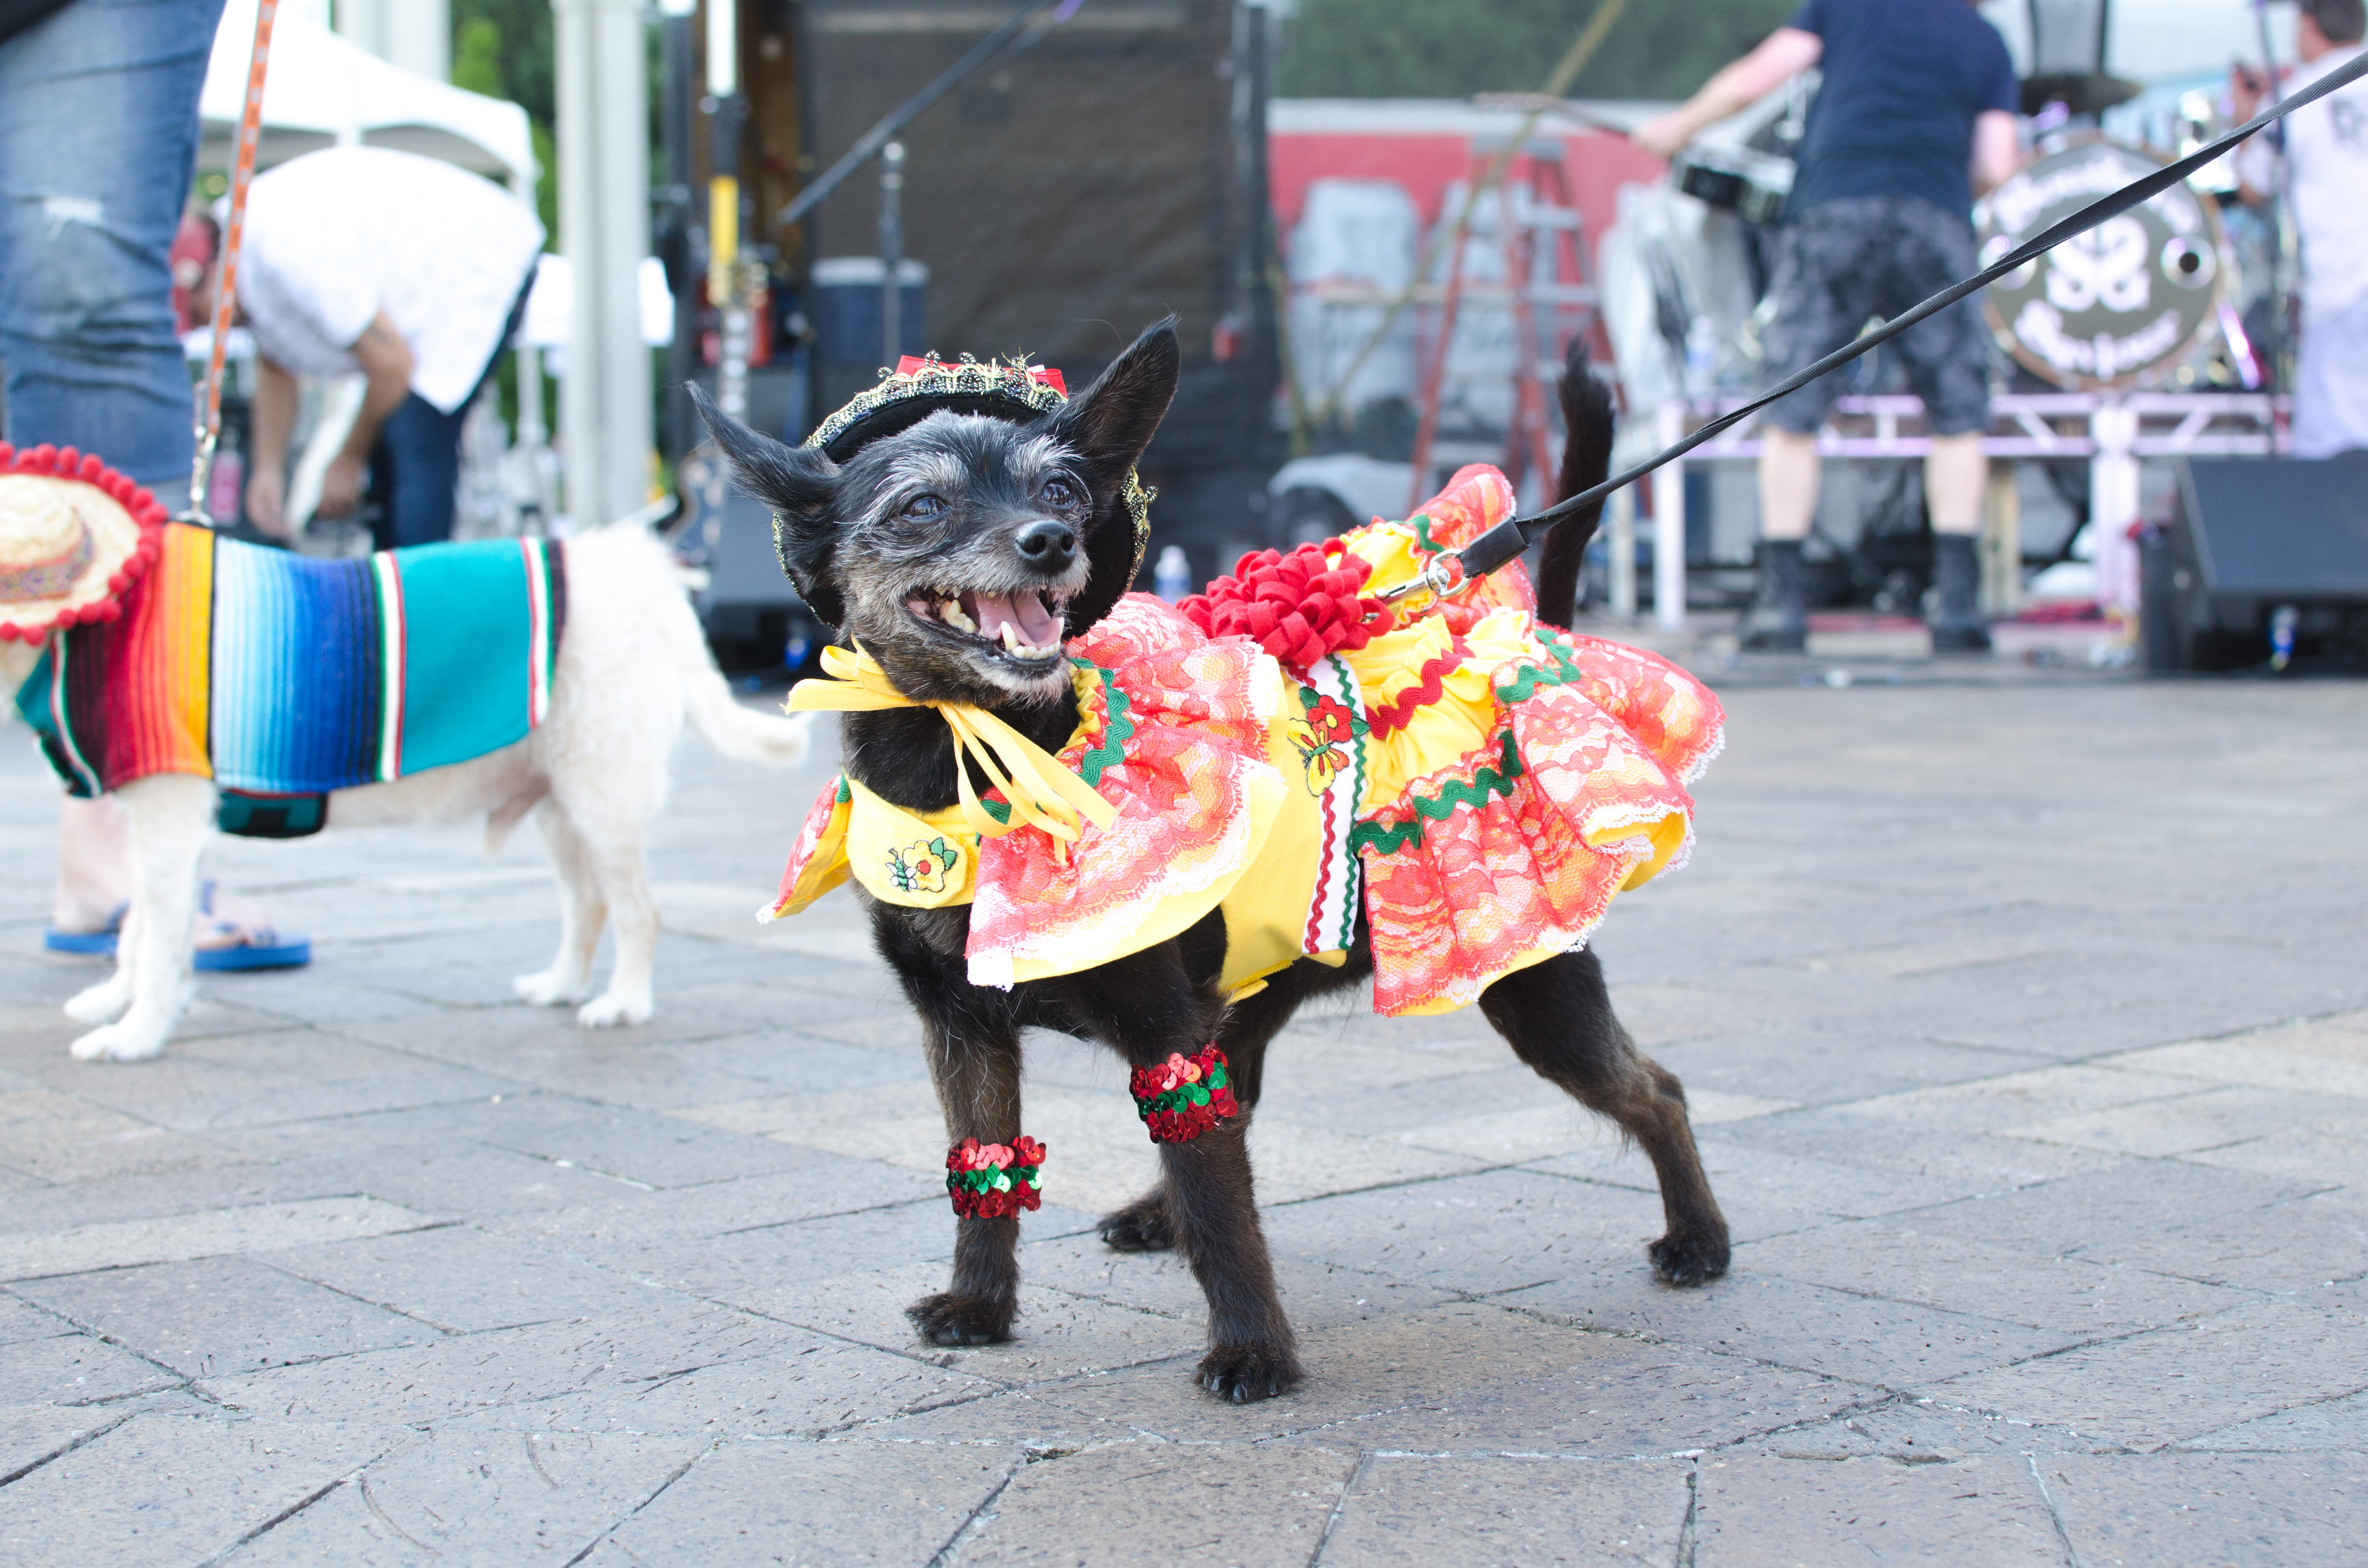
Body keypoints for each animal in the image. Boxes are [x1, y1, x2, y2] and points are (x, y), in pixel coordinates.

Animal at [2, 521, 805, 1061]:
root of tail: (643, 575)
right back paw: (562, 984)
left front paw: (136, 1033)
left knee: (639, 911)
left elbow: (157, 943)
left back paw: (625, 1003)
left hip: (601, 804)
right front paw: (116, 1003)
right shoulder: (164, 829)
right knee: (589, 905)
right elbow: (137, 930)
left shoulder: (168, 822)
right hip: (561, 807)